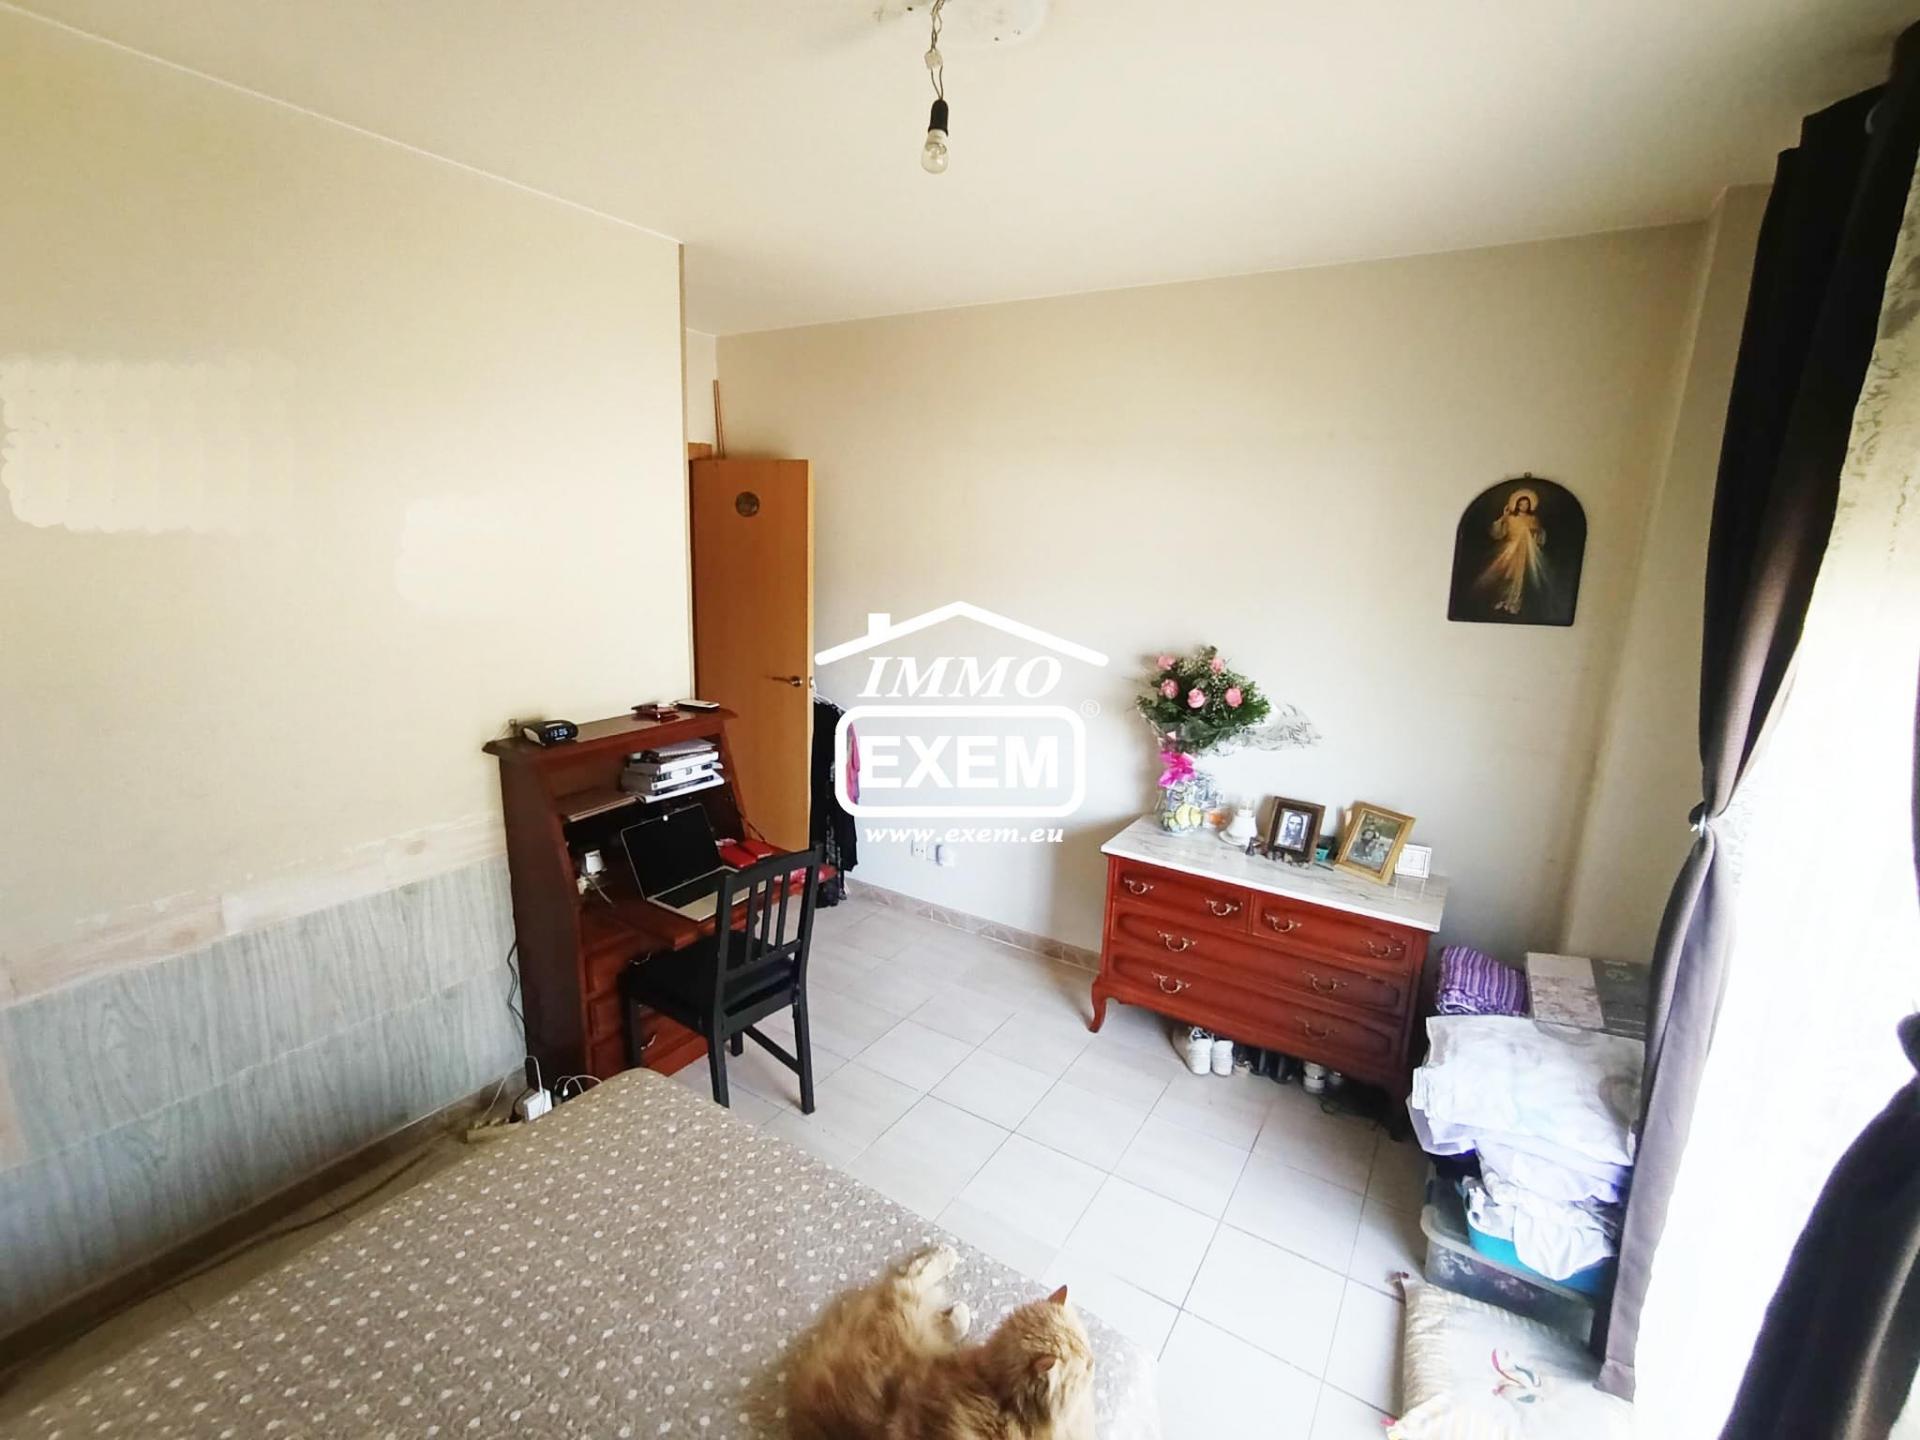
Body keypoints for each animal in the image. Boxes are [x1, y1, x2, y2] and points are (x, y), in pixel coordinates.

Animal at [785, 1243, 1097, 1440]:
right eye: (1085, 1366)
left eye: (1088, 1351)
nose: (1095, 1362)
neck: (1003, 1397)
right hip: (908, 1310)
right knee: (911, 1277)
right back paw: (948, 1262)